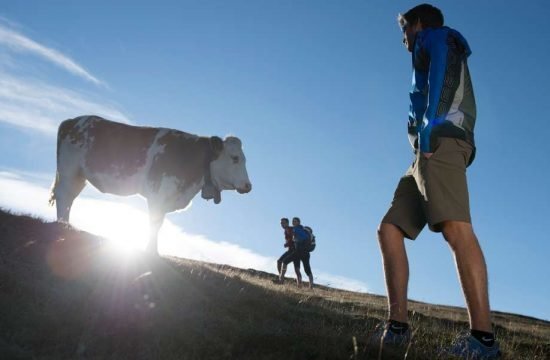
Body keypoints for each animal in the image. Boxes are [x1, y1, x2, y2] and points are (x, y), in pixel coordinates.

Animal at [49, 115, 252, 253]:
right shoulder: (157, 195)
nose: (248, 186)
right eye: (235, 158)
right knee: (63, 195)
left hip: (79, 176)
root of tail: (73, 120)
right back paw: (62, 225)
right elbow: (154, 223)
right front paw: (150, 252)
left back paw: (66, 224)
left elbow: (159, 224)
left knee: (69, 197)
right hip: (68, 169)